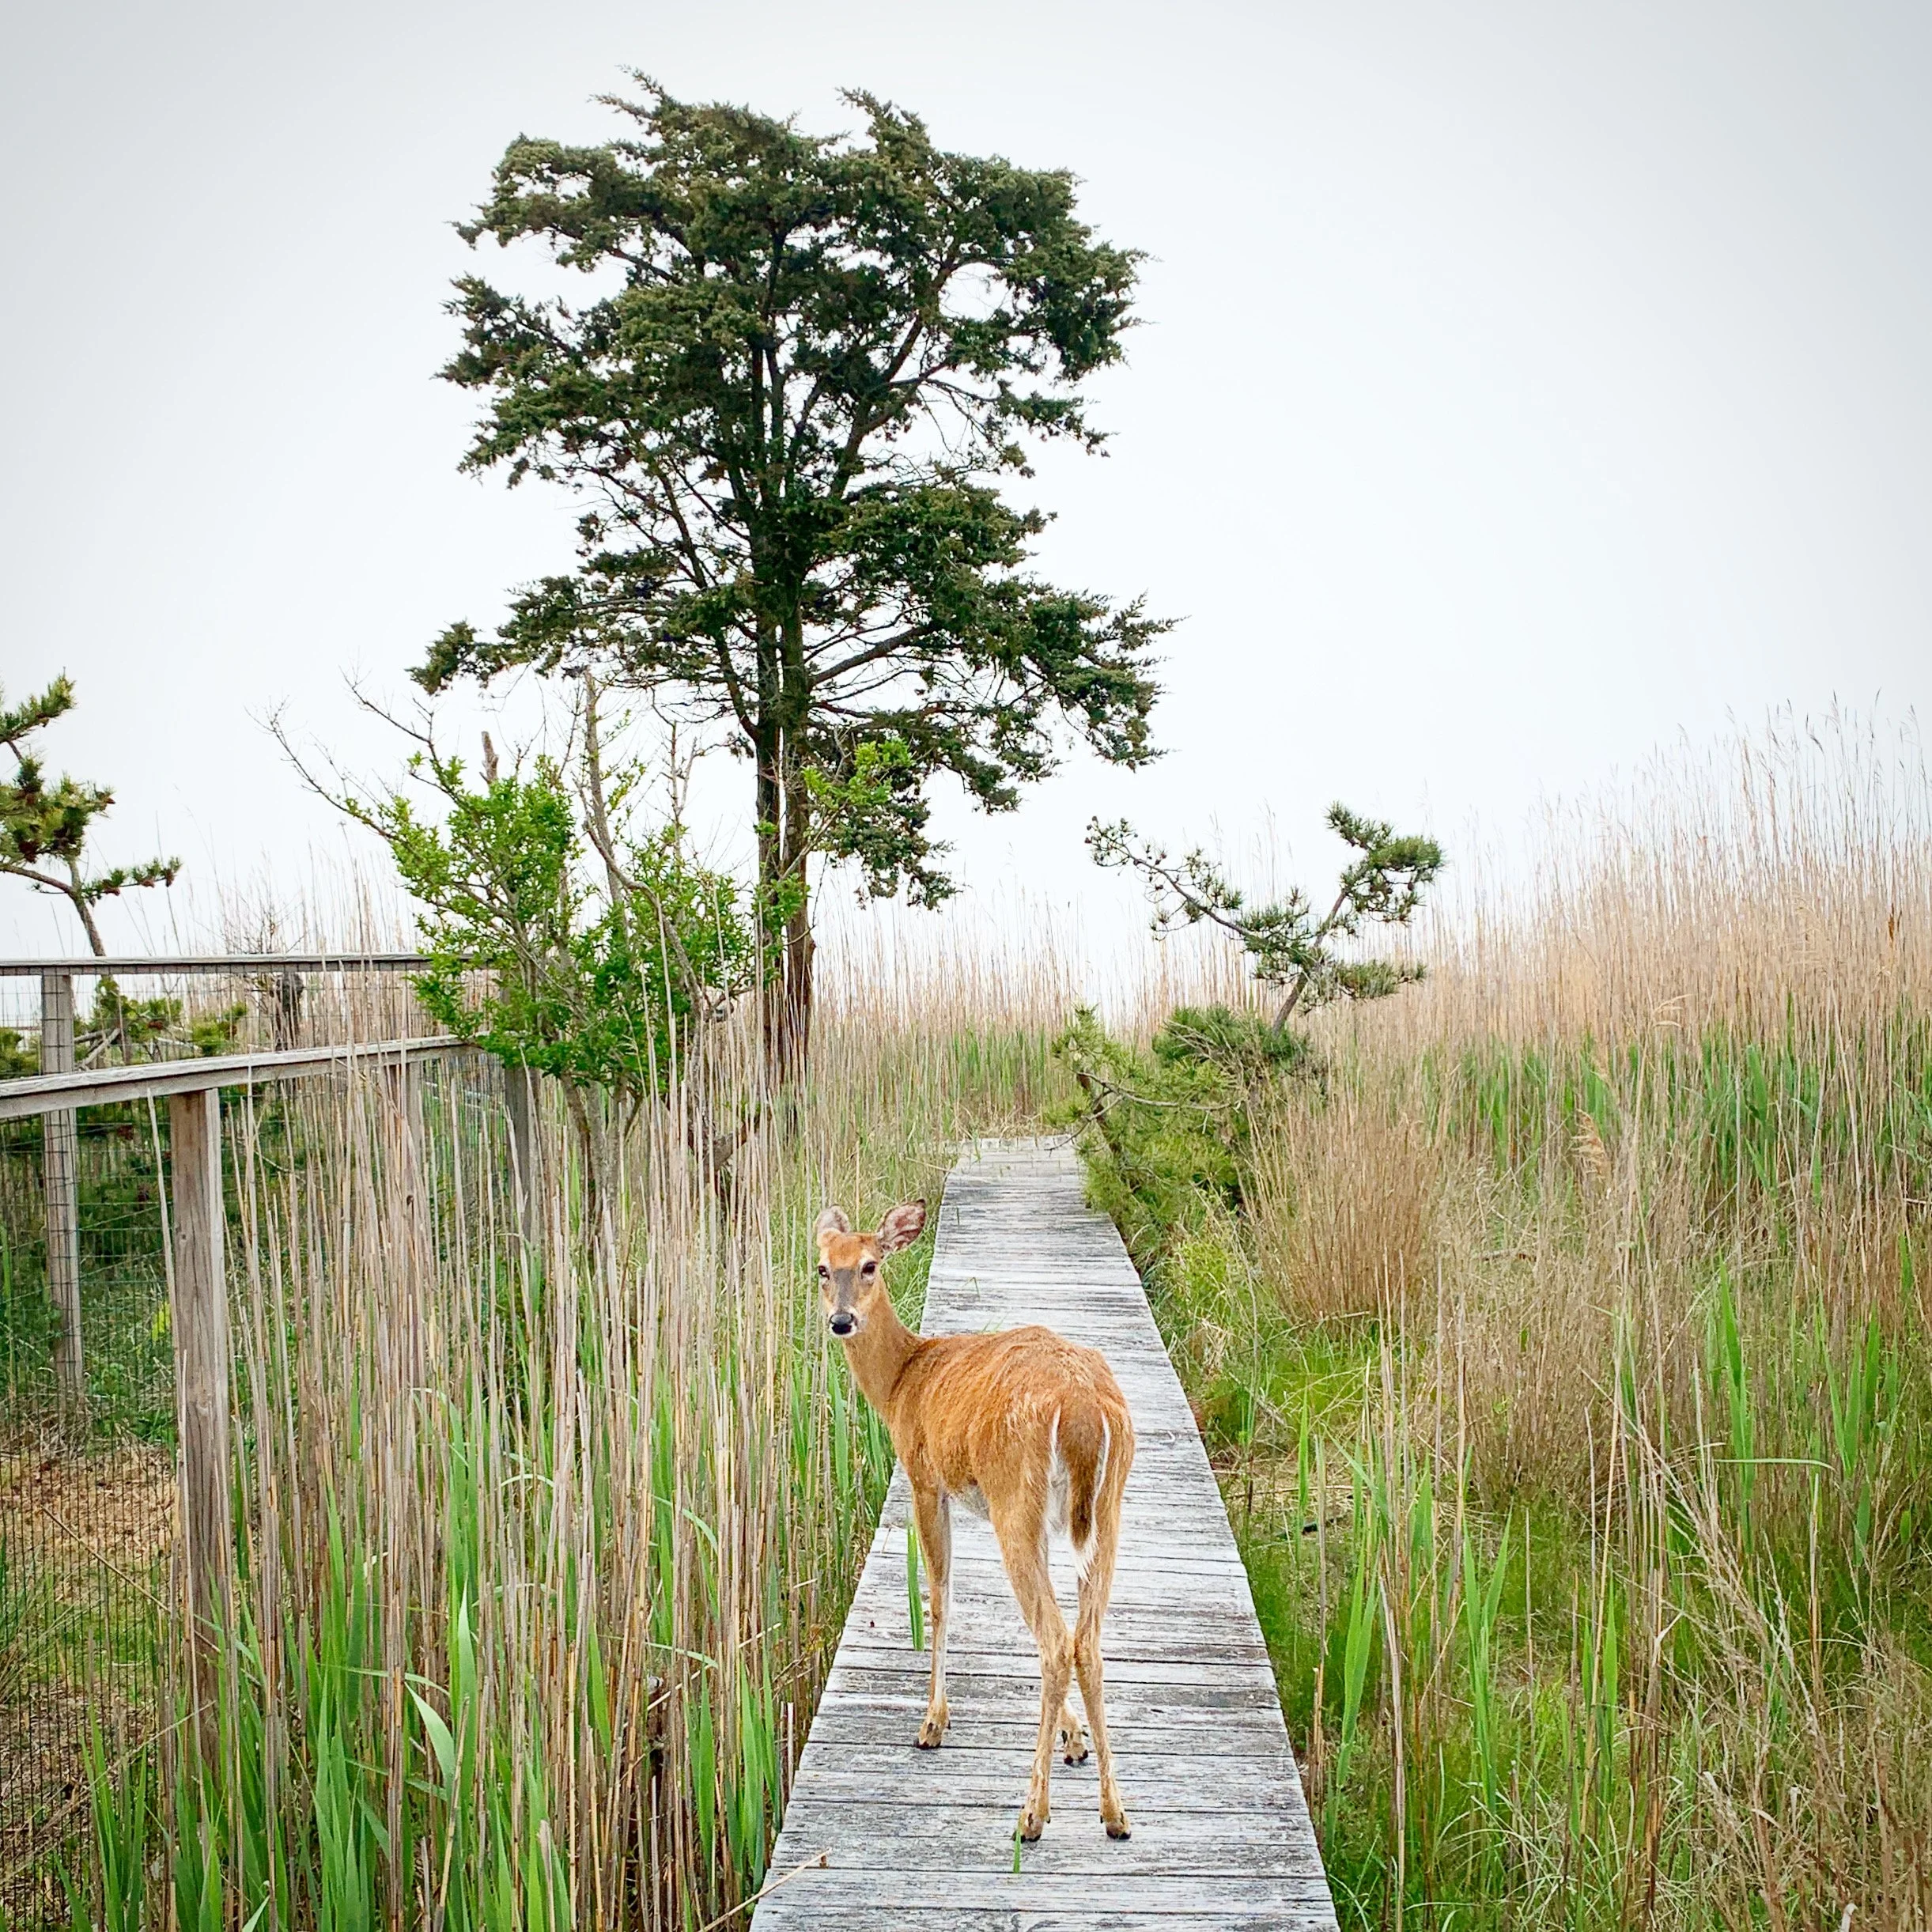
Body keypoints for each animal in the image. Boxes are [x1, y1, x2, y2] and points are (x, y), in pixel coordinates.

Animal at [814, 1198, 1135, 1843]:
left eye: (870, 1264)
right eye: (821, 1268)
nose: (840, 1322)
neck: (903, 1382)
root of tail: (1084, 1411)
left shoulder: (924, 1476)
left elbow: (939, 1598)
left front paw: (932, 1722)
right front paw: (1074, 1739)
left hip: (1017, 1495)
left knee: (1056, 1641)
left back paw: (1032, 1814)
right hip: (1102, 1510)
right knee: (1083, 1640)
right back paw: (1115, 1813)